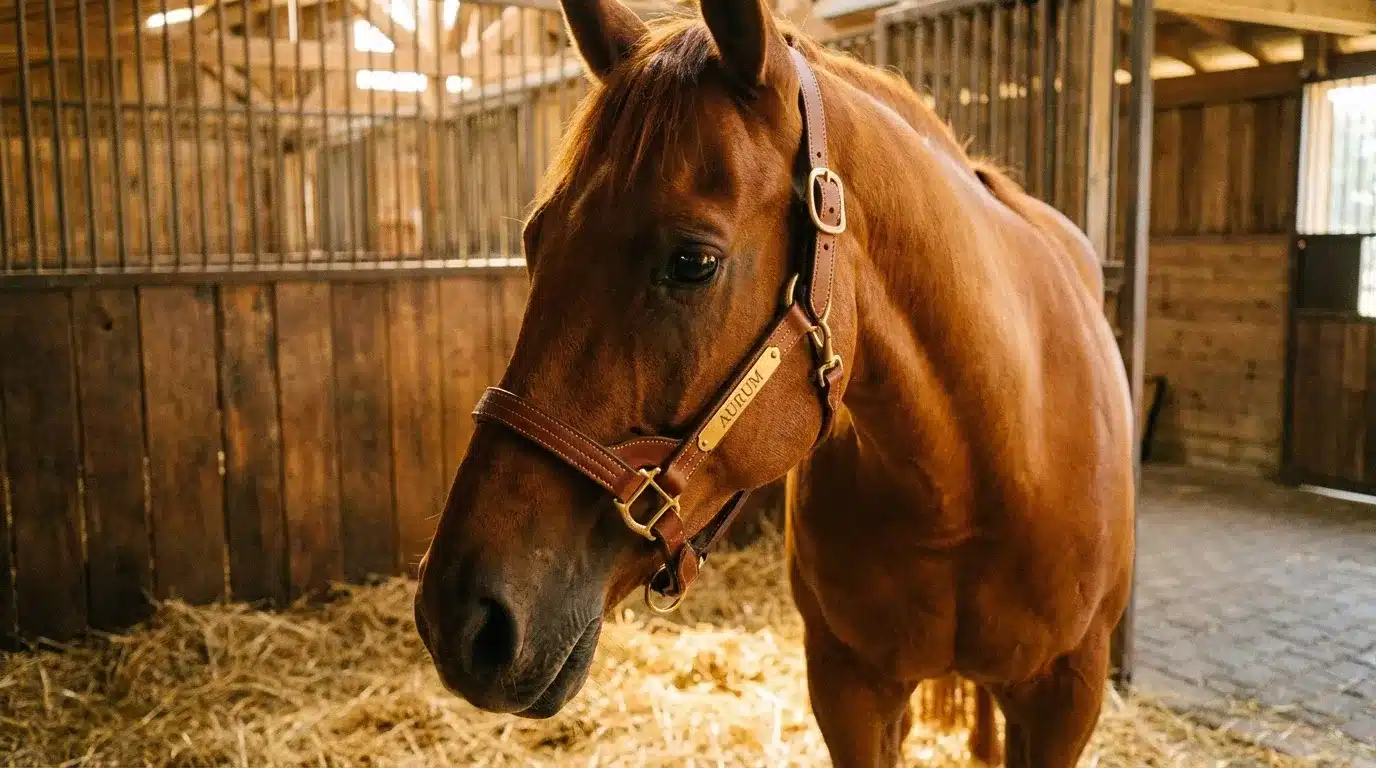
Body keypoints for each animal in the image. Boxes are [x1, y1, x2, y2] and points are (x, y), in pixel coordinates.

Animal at [412, 0, 1136, 763]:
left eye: (693, 261)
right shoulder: (850, 688)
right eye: (535, 240)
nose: (458, 617)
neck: (972, 477)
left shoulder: (1065, 700)